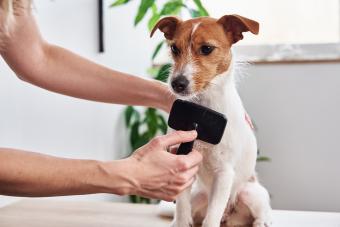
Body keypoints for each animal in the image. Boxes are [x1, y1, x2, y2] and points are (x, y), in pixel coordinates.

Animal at [150, 14, 272, 227]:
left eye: (206, 48)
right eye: (174, 48)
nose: (177, 83)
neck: (203, 108)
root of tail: (230, 217)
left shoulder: (224, 173)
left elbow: (211, 218)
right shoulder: (182, 164)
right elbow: (181, 210)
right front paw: (180, 221)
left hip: (250, 193)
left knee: (261, 212)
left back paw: (262, 222)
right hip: (198, 196)